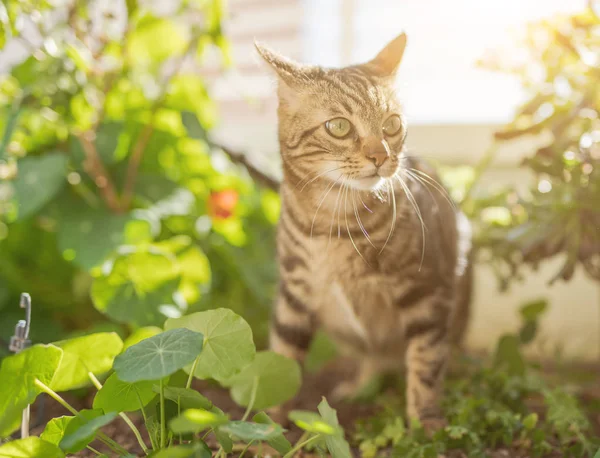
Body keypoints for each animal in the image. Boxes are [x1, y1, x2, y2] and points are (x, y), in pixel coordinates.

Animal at [255, 34, 472, 432]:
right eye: (339, 127)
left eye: (392, 124)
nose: (380, 156)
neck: (333, 225)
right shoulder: (294, 294)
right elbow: (283, 356)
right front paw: (265, 428)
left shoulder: (426, 290)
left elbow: (427, 361)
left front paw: (426, 423)